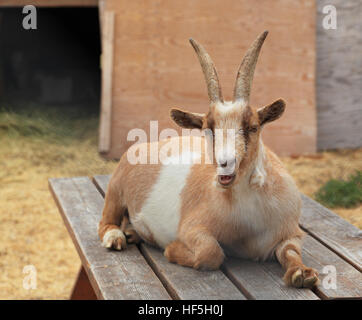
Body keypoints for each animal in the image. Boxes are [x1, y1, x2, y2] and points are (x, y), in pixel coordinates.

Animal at [97, 31, 318, 288]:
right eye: (207, 128)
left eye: (252, 127)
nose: (225, 163)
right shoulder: (192, 227)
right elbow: (210, 252)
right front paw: (171, 249)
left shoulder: (290, 231)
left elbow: (291, 250)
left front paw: (302, 274)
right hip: (115, 190)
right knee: (106, 221)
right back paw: (117, 237)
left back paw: (132, 233)